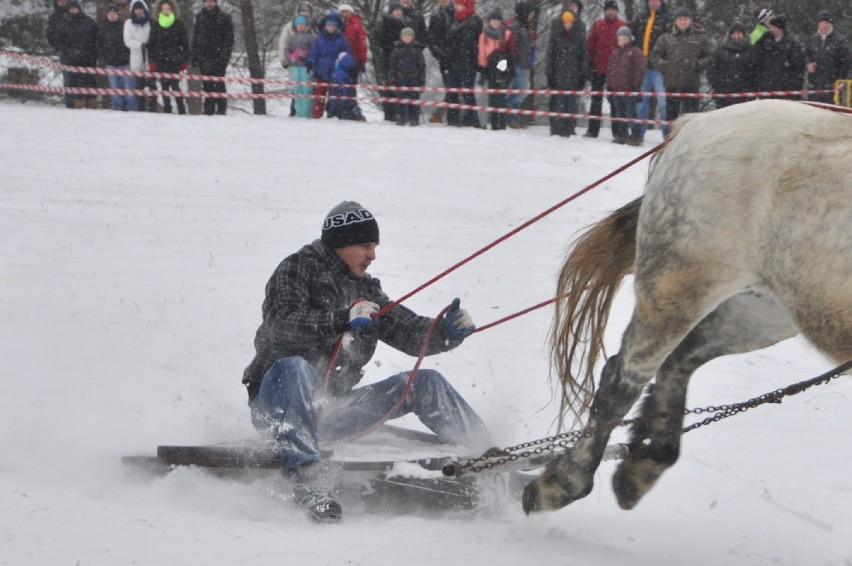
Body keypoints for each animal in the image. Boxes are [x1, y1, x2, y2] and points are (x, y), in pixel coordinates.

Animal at [524, 101, 848, 516]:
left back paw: (646, 462)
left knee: (680, 360)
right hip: (677, 286)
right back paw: (564, 482)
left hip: (767, 308)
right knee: (622, 379)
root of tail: (698, 120)